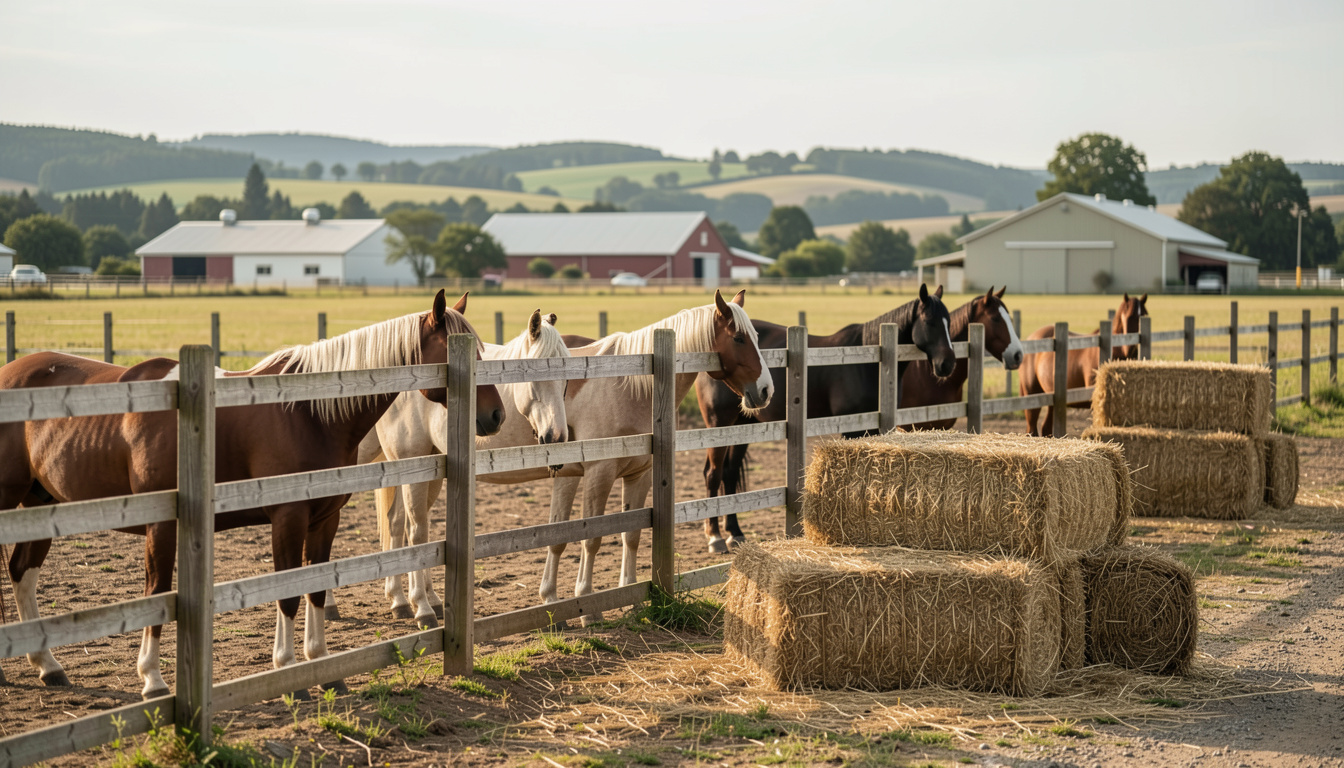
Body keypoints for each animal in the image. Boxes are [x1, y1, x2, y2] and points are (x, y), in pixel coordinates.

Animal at [0, 291, 504, 699]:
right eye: (465, 350)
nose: (496, 416)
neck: (307, 412)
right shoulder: (282, 518)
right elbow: (268, 593)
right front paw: (282, 674)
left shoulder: (325, 519)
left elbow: (315, 588)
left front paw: (323, 669)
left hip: (42, 505)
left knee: (22, 572)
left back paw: (48, 666)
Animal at [329, 309, 572, 628]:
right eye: (535, 377)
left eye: (566, 380)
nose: (557, 437)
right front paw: (423, 609)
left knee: (396, 523)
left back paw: (401, 601)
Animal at [536, 290, 771, 624]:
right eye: (739, 338)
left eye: (756, 336)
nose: (766, 390)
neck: (630, 385)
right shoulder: (597, 472)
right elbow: (591, 537)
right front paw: (587, 609)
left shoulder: (634, 472)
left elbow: (626, 534)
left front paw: (631, 600)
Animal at [694, 283, 957, 553]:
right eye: (930, 321)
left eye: (948, 321)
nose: (947, 364)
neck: (868, 360)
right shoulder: (852, 429)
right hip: (718, 423)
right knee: (713, 474)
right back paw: (715, 537)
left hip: (743, 424)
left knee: (730, 473)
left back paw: (735, 533)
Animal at [1020, 292, 1148, 437]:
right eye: (1129, 316)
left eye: (1144, 315)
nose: (1131, 348)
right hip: (1032, 396)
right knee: (1032, 429)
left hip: (1050, 400)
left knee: (1046, 428)